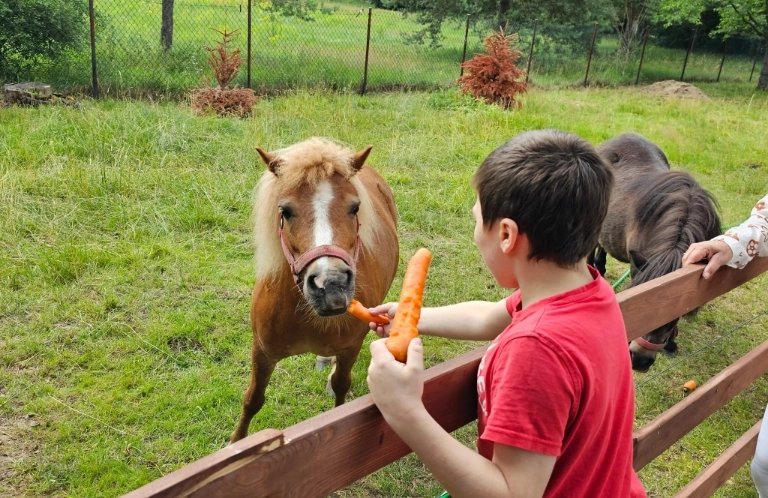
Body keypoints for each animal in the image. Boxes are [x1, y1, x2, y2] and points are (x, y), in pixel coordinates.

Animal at [228, 137, 400, 444]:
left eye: (355, 208)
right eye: (285, 211)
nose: (331, 285)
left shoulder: (351, 347)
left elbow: (341, 388)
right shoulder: (262, 351)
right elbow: (253, 399)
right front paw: (236, 444)